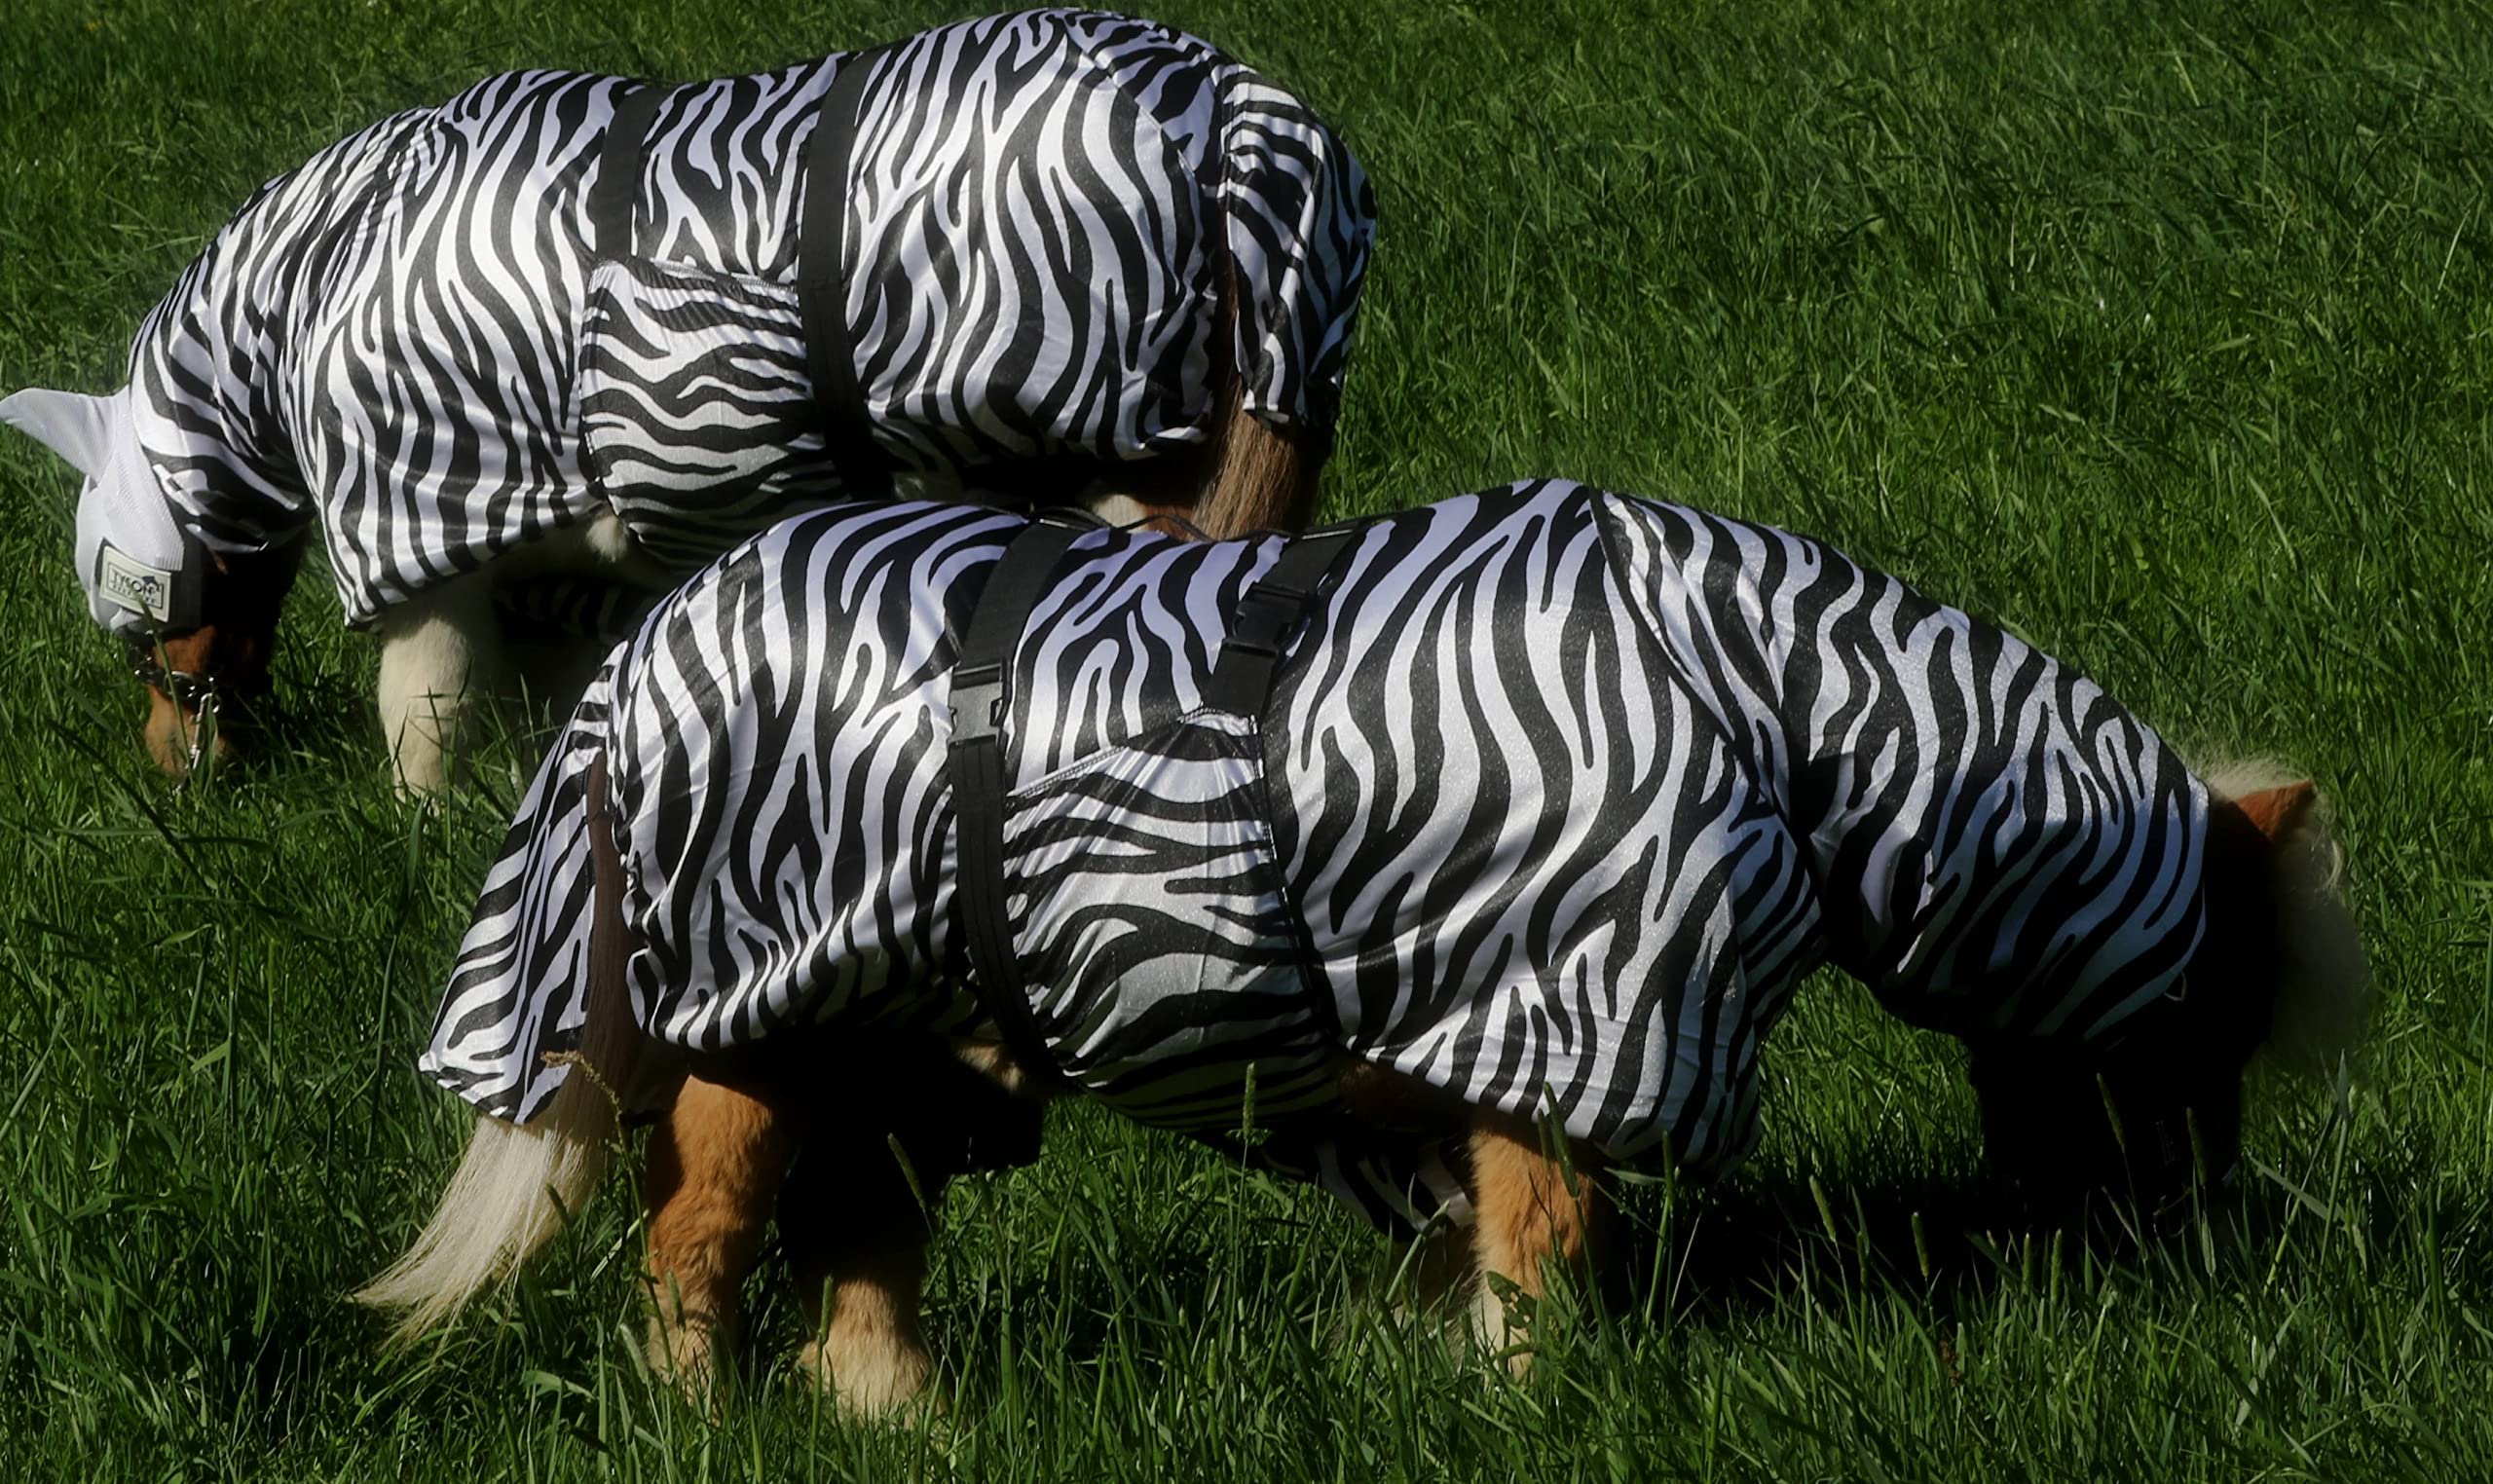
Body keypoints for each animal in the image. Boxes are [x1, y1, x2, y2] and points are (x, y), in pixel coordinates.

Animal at [1, 8, 1373, 790]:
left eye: (126, 614)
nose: (176, 776)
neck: (317, 274)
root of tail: (1244, 118)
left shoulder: (430, 532)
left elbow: (424, 719)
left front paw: (419, 831)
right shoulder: (557, 568)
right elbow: (555, 705)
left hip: (1107, 465)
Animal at [359, 481, 2367, 1408]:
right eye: (2208, 1027)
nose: (2207, 1242)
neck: (1778, 713)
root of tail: (645, 643)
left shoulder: (1441, 1055)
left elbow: (1454, 1233)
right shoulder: (1561, 1022)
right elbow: (1541, 1255)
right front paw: (1534, 1397)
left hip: (910, 1064)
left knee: (861, 1251)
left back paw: (906, 1418)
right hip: (761, 1039)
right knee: (692, 1247)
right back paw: (703, 1410)